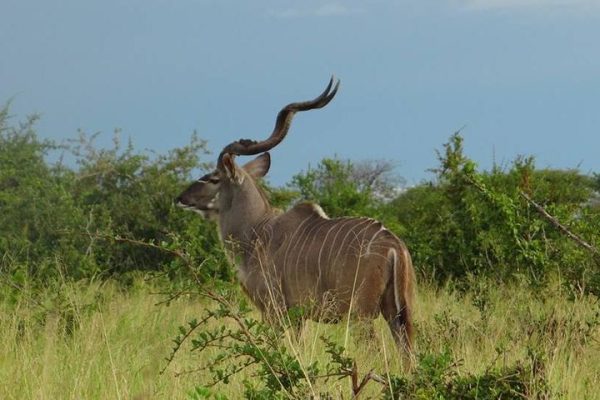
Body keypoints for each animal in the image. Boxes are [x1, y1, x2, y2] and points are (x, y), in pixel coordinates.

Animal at [176, 78, 414, 356]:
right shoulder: (300, 317)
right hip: (400, 314)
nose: (181, 198)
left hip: (361, 315)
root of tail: (394, 247)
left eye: (214, 178)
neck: (257, 232)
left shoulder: (275, 310)